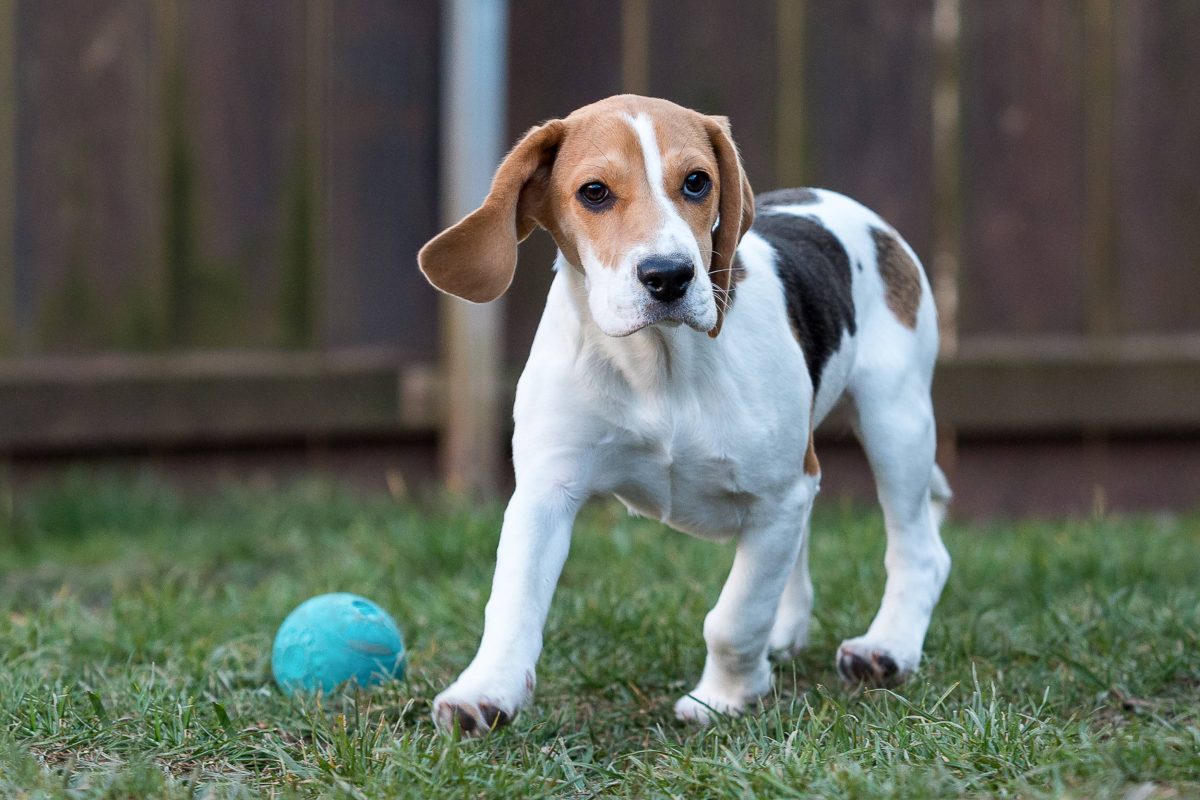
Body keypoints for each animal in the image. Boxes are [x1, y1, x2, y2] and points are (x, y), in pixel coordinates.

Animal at [417, 95, 950, 738]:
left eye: (697, 182)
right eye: (594, 192)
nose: (669, 275)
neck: (659, 363)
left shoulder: (780, 495)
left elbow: (734, 618)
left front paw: (722, 697)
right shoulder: (546, 491)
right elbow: (513, 600)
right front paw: (485, 691)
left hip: (896, 425)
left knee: (920, 552)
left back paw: (886, 647)